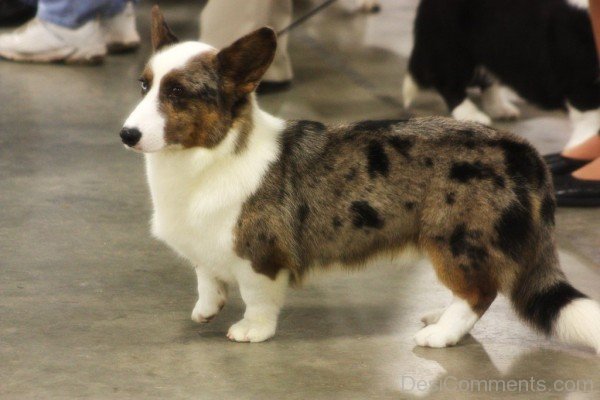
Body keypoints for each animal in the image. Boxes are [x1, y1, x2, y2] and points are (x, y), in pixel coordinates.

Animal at [406, 0, 596, 148]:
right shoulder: (582, 84)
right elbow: (589, 120)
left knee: (488, 78)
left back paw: (500, 109)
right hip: (455, 47)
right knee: (449, 83)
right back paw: (471, 115)